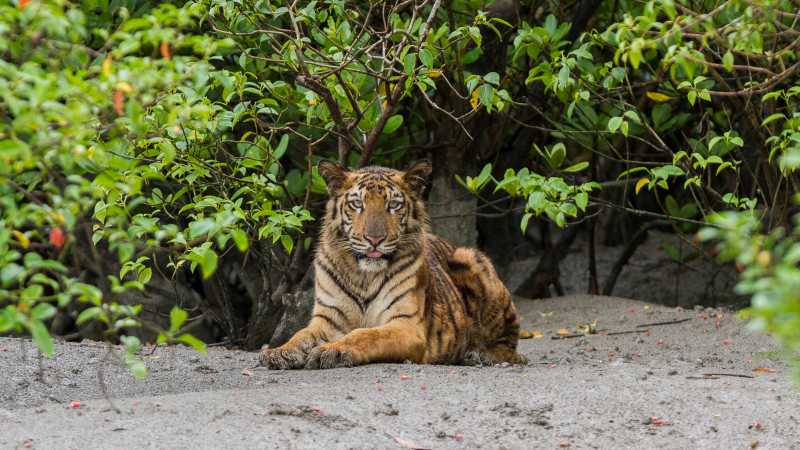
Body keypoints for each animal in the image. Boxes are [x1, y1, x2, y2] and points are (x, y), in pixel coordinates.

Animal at [259, 160, 526, 369]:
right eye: (357, 204)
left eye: (393, 205)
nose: (374, 239)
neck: (363, 276)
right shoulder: (328, 320)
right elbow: (301, 335)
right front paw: (279, 352)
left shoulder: (405, 325)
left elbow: (365, 335)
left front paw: (332, 351)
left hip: (472, 259)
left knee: (509, 346)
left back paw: (479, 355)